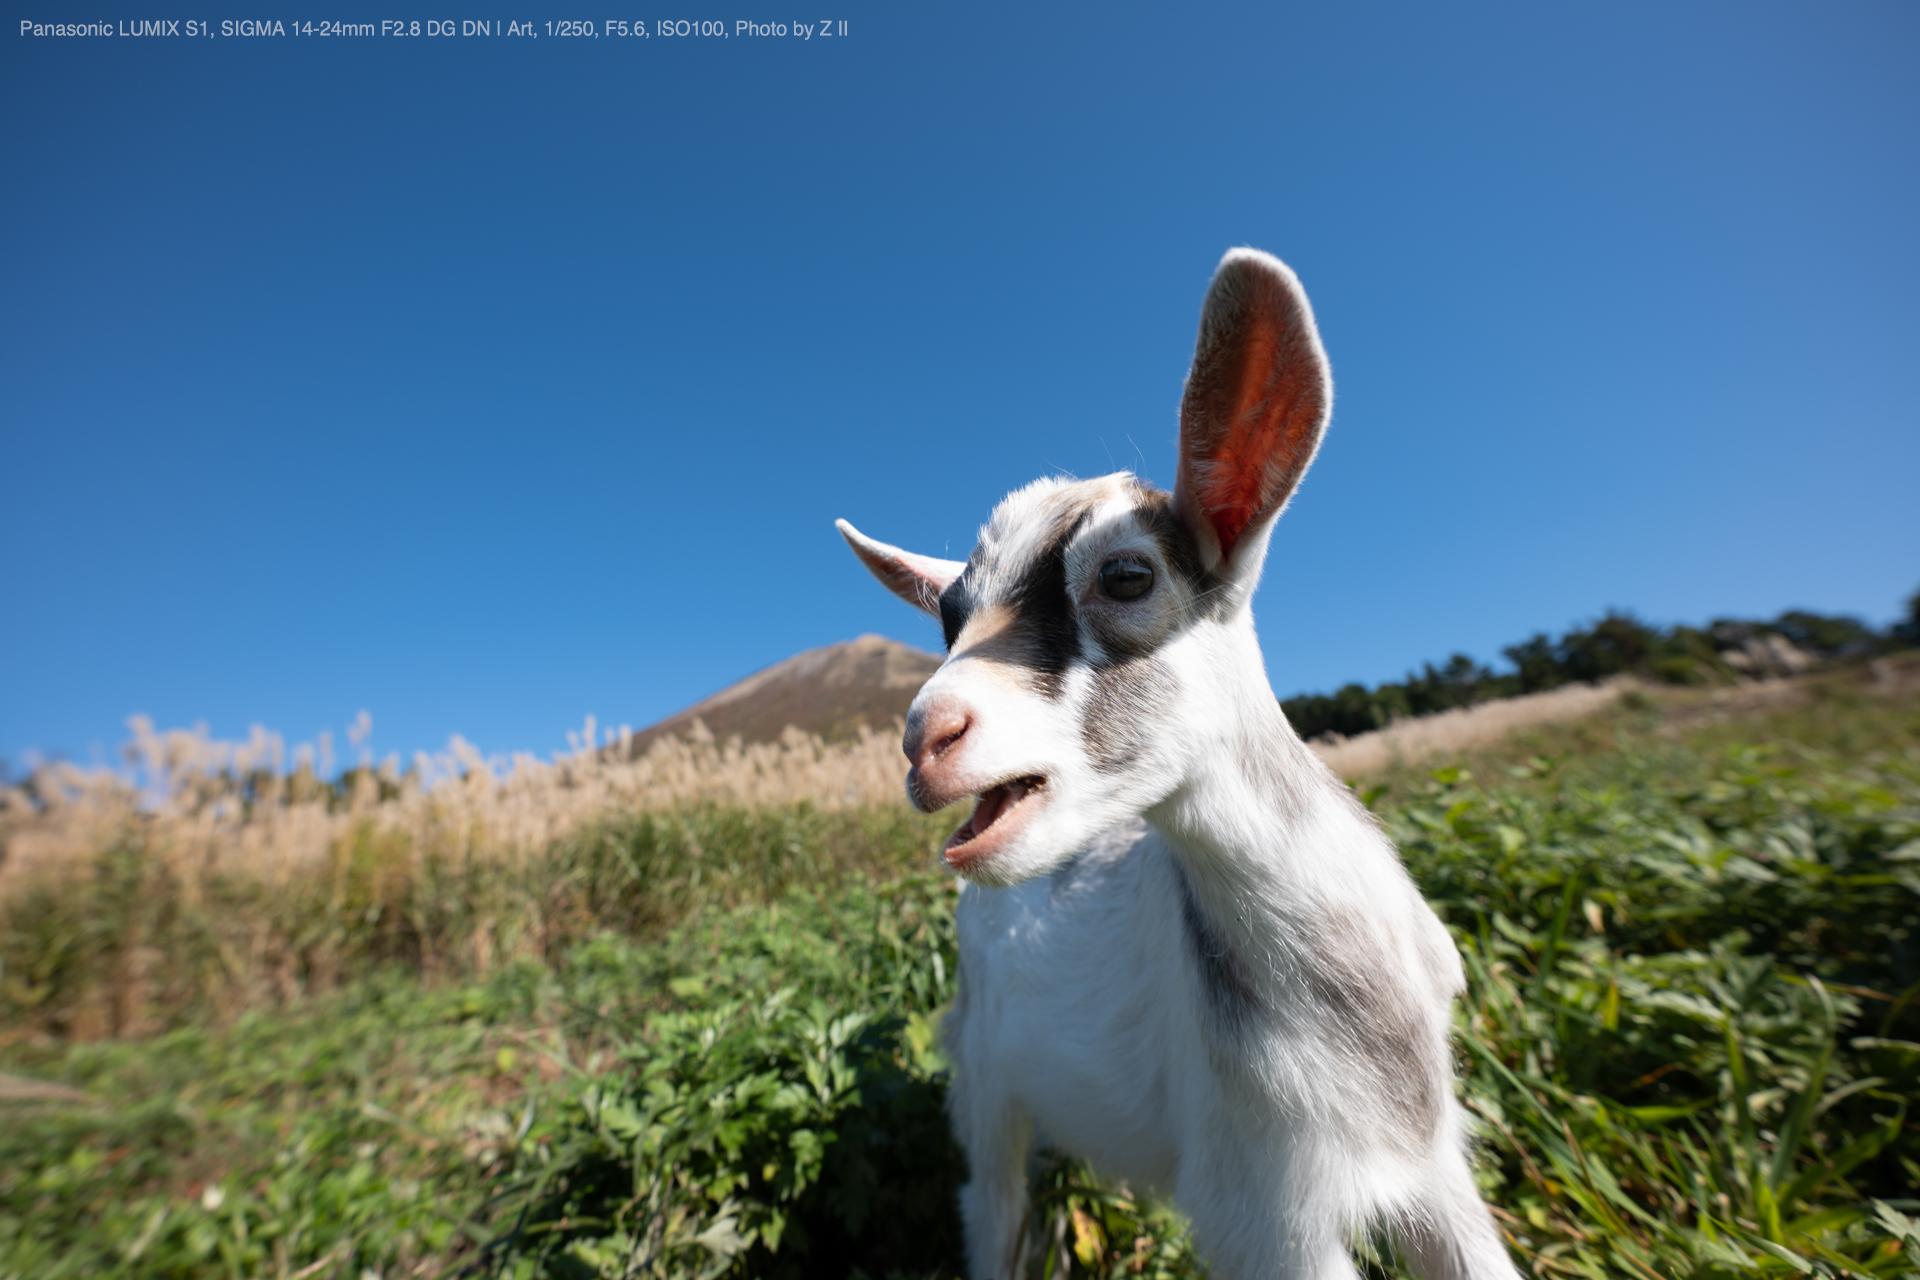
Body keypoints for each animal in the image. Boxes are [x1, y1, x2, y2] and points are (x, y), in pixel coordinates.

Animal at [833, 249, 1520, 1280]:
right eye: (950, 618)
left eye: (1127, 576)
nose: (925, 738)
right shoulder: (1266, 1209)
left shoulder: (1433, 1173)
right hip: (986, 1079)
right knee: (994, 1205)